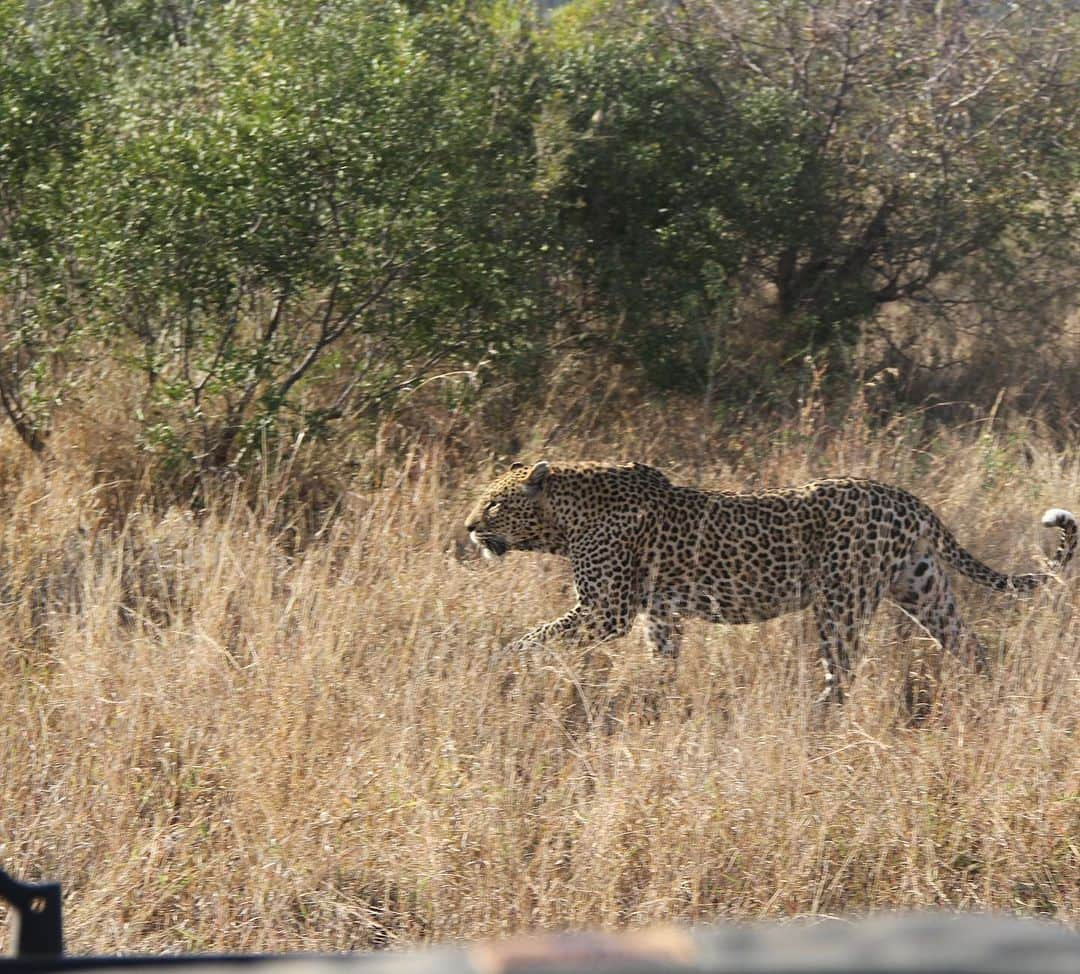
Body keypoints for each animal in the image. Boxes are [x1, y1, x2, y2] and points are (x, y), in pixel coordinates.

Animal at [462, 464, 1071, 699]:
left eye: (493, 504)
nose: (468, 527)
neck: (564, 519)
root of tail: (906, 498)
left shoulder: (606, 610)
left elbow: (536, 636)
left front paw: (498, 662)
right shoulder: (659, 612)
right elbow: (663, 658)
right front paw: (658, 699)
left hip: (842, 602)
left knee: (840, 673)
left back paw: (815, 725)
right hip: (923, 588)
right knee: (970, 645)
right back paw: (992, 698)